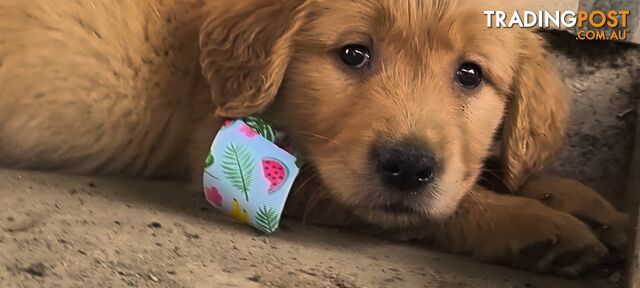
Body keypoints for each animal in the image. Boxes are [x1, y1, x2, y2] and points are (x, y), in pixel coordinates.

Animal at [0, 0, 628, 276]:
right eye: (353, 54)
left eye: (471, 74)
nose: (407, 167)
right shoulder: (245, 165)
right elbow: (448, 205)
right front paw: (534, 223)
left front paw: (578, 199)